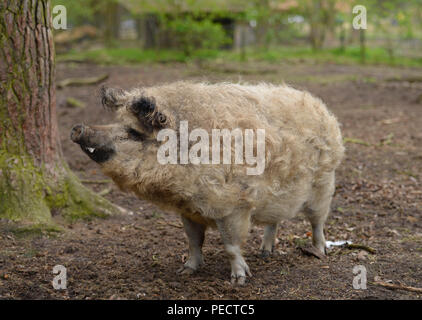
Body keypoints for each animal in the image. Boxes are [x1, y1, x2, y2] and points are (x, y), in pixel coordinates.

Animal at [71, 81, 344, 284]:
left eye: (133, 133)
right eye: (118, 123)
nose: (78, 128)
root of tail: (322, 109)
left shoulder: (234, 205)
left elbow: (230, 245)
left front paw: (239, 280)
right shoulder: (188, 210)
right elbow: (193, 241)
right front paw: (186, 271)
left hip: (324, 182)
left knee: (317, 220)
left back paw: (320, 252)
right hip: (277, 195)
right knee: (274, 220)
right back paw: (265, 253)